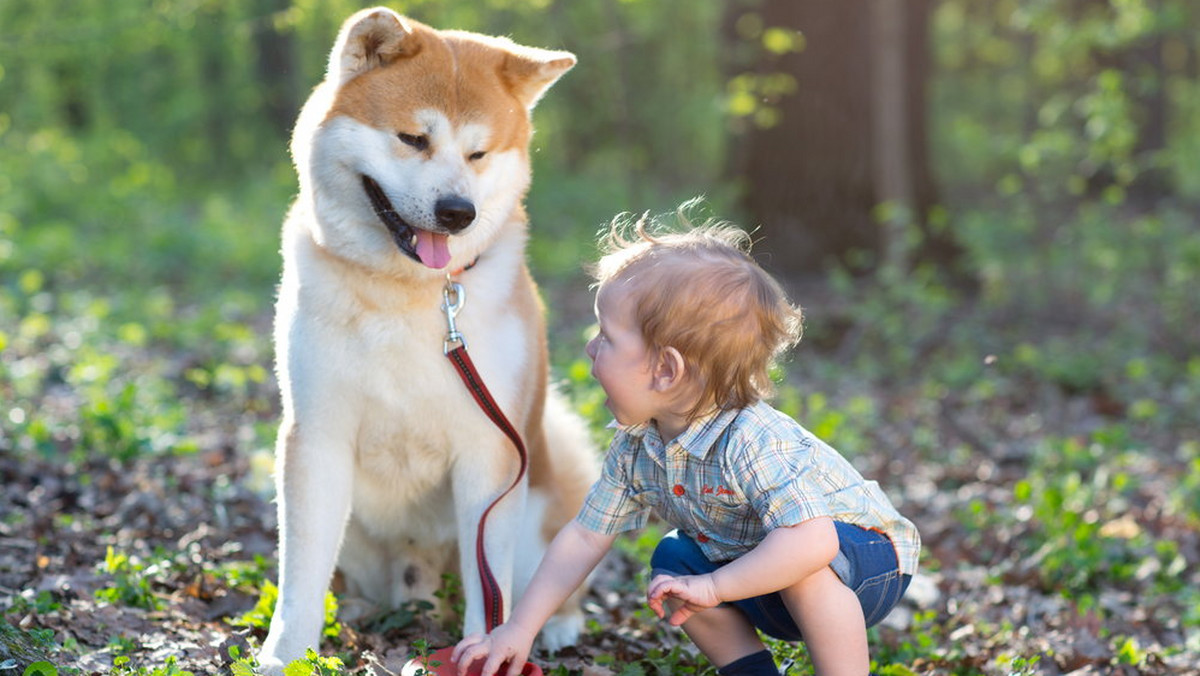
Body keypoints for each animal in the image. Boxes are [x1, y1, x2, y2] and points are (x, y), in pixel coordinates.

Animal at [262, 7, 600, 672]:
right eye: (413, 139)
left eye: (478, 152)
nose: (456, 212)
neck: (409, 294)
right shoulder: (315, 437)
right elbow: (301, 576)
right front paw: (287, 655)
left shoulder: (490, 451)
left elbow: (489, 587)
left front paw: (488, 649)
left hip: (542, 501)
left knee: (545, 586)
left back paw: (554, 628)